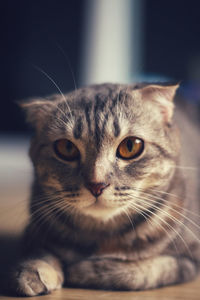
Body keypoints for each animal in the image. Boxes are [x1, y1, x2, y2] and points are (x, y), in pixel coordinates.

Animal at [9, 82, 200, 296]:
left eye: (130, 146)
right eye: (66, 148)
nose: (96, 184)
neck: (102, 236)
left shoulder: (189, 259)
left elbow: (141, 271)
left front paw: (83, 270)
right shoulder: (34, 228)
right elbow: (39, 250)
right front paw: (34, 270)